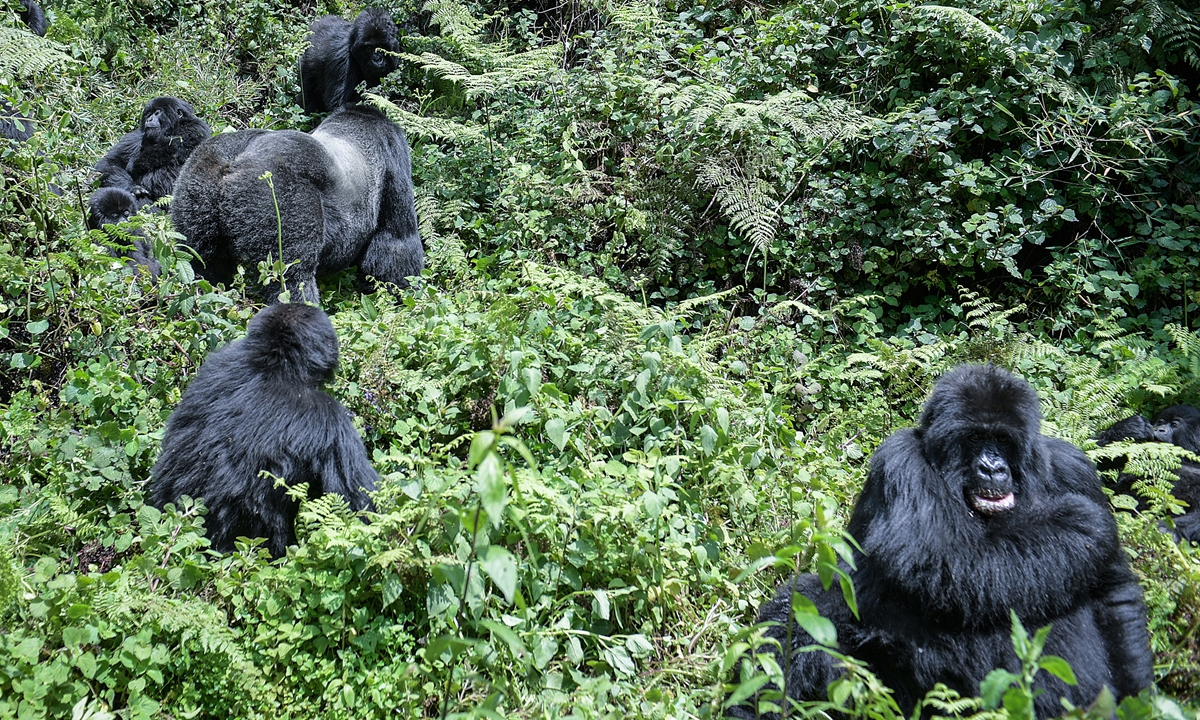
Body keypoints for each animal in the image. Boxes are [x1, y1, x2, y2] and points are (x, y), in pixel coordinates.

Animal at [171, 103, 424, 301]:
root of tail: (233, 162)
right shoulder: (393, 153)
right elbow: (396, 242)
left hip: (198, 176)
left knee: (202, 258)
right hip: (277, 189)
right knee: (293, 276)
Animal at [729, 364, 1152, 720]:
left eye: (1002, 440)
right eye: (975, 438)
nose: (992, 468)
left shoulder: (1075, 470)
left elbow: (1113, 594)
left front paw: (1140, 698)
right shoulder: (901, 462)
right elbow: (940, 558)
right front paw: (1079, 526)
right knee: (806, 607)